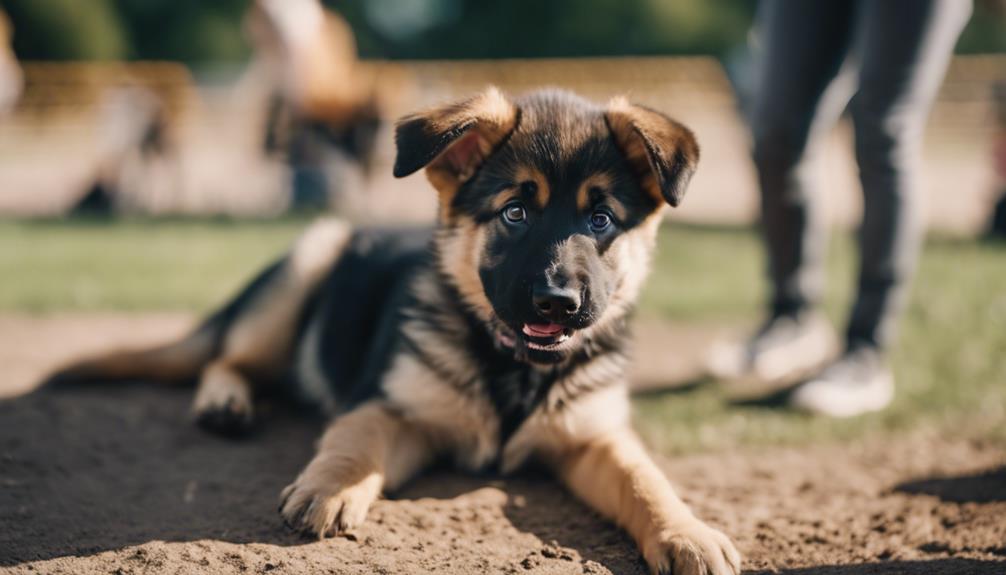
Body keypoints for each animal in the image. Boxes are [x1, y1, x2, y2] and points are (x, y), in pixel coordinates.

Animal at [49, 87, 740, 570]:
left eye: (601, 221)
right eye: (515, 212)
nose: (557, 302)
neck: (511, 367)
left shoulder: (592, 438)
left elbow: (645, 478)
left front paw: (688, 532)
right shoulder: (395, 407)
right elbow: (358, 436)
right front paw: (332, 484)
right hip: (308, 261)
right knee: (228, 358)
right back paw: (226, 402)